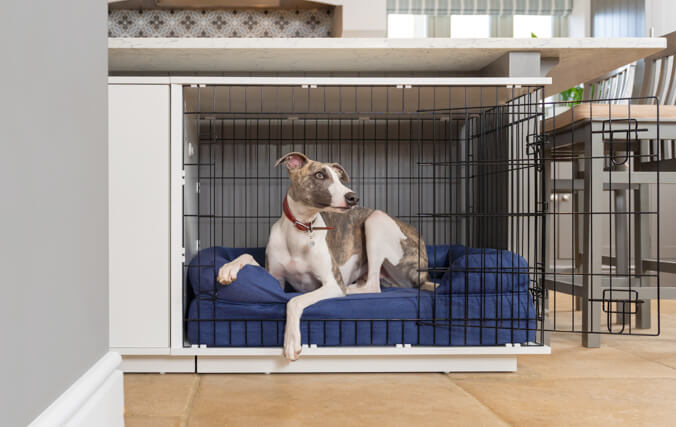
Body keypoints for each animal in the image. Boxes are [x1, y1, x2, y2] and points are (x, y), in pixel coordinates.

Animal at [219, 153, 436, 362]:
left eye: (340, 178)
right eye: (319, 175)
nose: (353, 197)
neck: (302, 229)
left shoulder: (332, 283)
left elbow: (294, 301)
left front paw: (291, 341)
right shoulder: (275, 278)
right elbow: (248, 256)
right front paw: (228, 268)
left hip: (376, 220)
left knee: (373, 286)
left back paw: (351, 289)